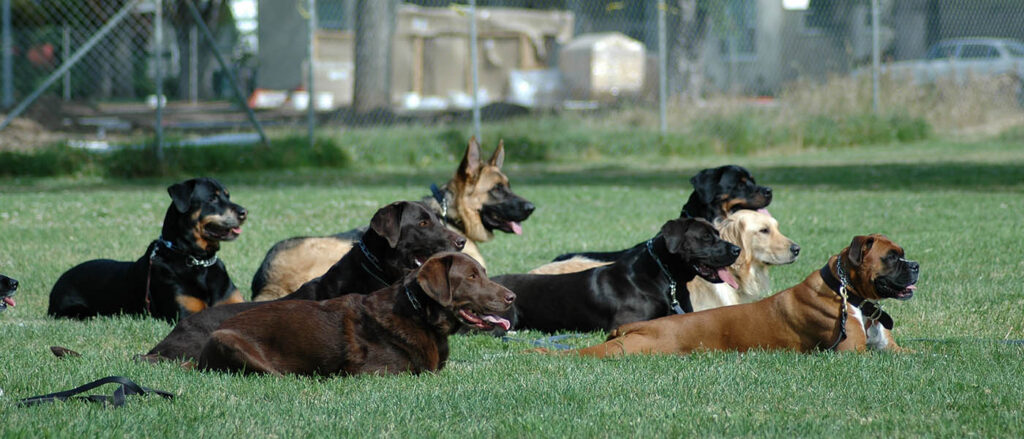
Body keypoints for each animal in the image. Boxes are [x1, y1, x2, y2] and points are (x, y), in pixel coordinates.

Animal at [196, 252, 516, 376]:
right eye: (471, 277)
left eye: (483, 272)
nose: (512, 297)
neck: (419, 315)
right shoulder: (377, 373)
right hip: (229, 341)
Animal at [569, 232, 921, 356]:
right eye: (892, 257)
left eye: (903, 253)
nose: (916, 265)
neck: (845, 291)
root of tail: (638, 327)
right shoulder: (852, 353)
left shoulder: (891, 349)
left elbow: (922, 353)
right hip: (629, 349)